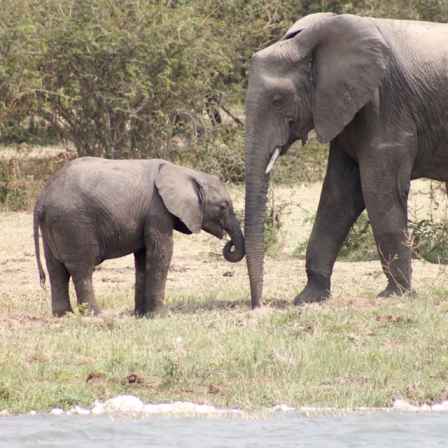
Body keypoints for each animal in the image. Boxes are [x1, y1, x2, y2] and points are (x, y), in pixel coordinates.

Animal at [34, 157, 245, 316]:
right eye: (224, 206)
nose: (229, 244)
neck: (184, 172)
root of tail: (41, 199)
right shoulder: (157, 210)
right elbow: (161, 253)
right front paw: (160, 316)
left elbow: (143, 258)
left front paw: (141, 315)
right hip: (74, 223)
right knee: (81, 268)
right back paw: (95, 315)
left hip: (55, 225)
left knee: (56, 270)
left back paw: (63, 315)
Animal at [243, 13, 448, 308]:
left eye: (278, 100)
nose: (259, 305)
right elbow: (338, 195)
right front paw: (308, 298)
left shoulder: (384, 102)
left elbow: (379, 191)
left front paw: (395, 295)